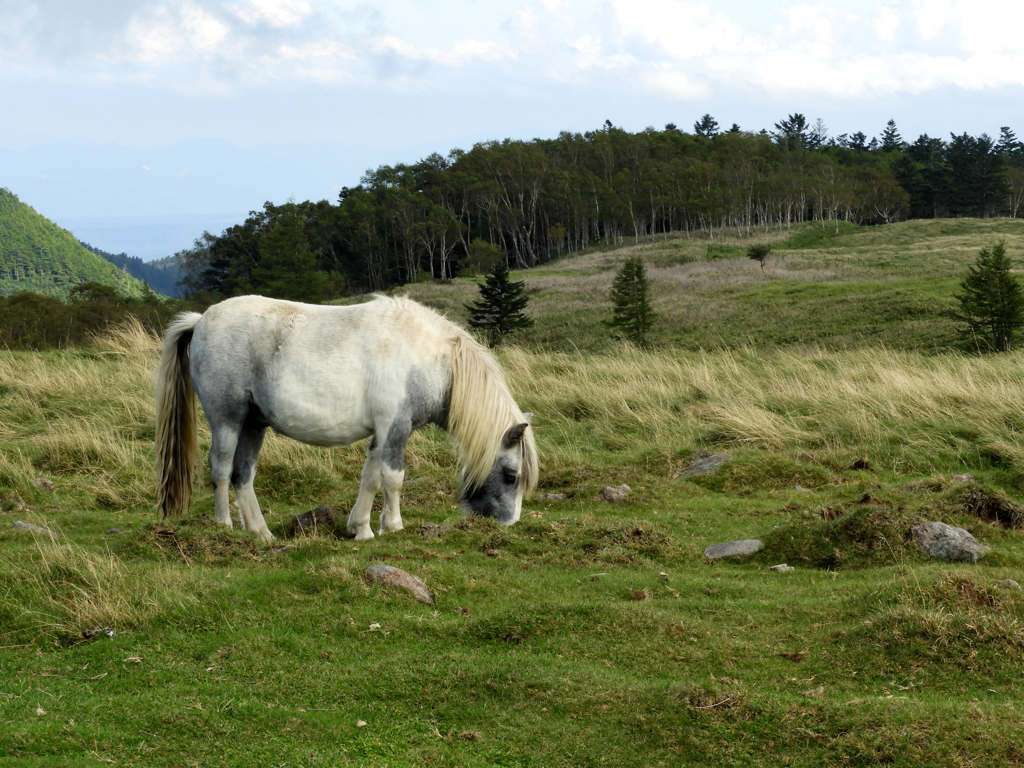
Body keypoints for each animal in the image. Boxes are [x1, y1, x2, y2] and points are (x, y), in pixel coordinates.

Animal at [153, 294, 536, 540]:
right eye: (511, 476)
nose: (508, 524)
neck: (430, 356)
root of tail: (201, 320)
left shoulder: (382, 433)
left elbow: (371, 478)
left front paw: (362, 528)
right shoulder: (395, 428)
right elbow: (393, 478)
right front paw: (393, 526)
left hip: (253, 424)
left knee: (241, 474)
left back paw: (261, 533)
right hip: (227, 421)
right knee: (220, 469)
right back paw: (225, 526)